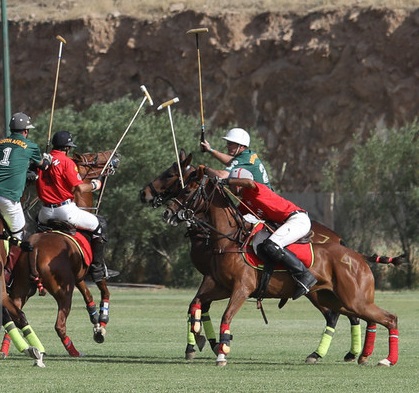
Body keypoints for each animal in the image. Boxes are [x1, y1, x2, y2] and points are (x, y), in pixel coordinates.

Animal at [2, 149, 119, 356]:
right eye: (93, 158)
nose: (114, 158)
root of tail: (35, 251)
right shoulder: (88, 272)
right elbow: (104, 289)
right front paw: (101, 325)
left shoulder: (79, 276)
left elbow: (88, 296)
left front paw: (95, 319)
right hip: (63, 291)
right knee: (59, 325)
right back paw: (73, 351)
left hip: (22, 289)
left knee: (16, 314)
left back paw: (10, 349)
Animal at [142, 149, 404, 362]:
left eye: (183, 185)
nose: (167, 212)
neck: (226, 238)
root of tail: (357, 256)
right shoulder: (220, 284)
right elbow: (196, 303)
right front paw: (200, 339)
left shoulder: (241, 287)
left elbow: (225, 314)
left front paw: (220, 350)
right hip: (332, 297)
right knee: (358, 317)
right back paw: (356, 355)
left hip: (352, 298)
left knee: (386, 318)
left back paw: (382, 359)